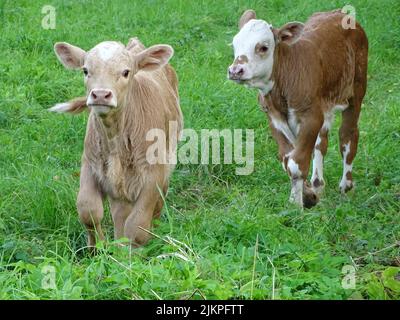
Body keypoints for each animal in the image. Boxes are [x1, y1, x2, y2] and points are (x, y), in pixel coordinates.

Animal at [50, 38, 183, 248]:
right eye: (85, 70)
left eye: (126, 72)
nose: (100, 95)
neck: (116, 141)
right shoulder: (90, 164)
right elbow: (88, 209)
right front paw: (97, 248)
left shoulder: (153, 175)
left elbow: (137, 226)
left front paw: (132, 254)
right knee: (120, 213)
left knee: (155, 207)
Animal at [228, 9, 368, 208]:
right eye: (235, 44)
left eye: (263, 47)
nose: (235, 71)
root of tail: (338, 12)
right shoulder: (274, 117)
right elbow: (288, 159)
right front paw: (308, 194)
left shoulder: (311, 116)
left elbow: (297, 162)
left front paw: (296, 204)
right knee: (321, 143)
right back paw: (318, 184)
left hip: (356, 88)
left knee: (348, 136)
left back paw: (346, 187)